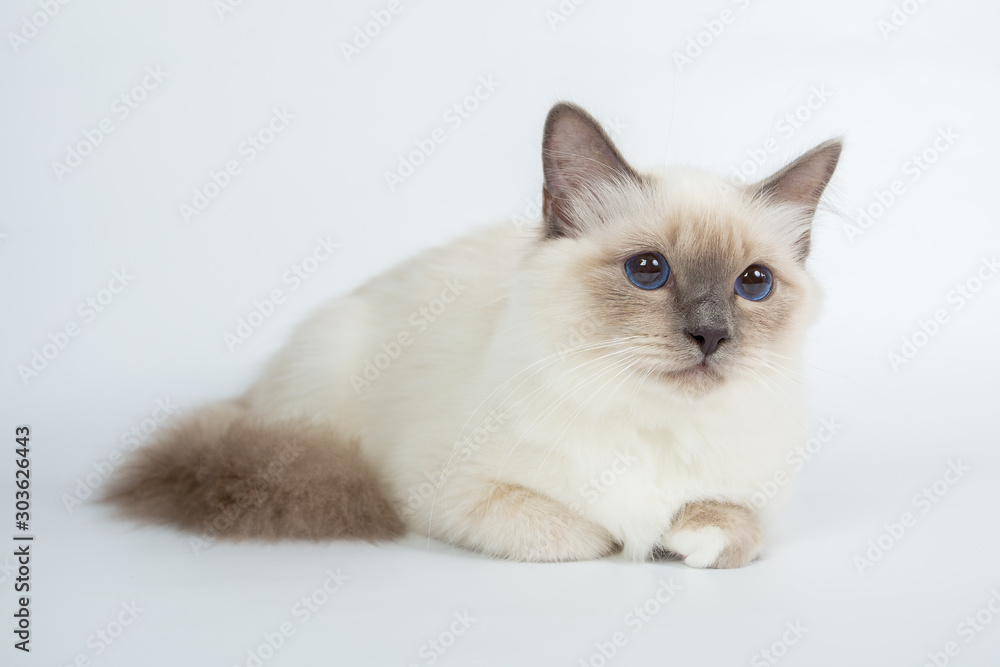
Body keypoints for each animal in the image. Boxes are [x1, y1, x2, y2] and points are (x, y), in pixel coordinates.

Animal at [105, 100, 840, 568]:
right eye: (648, 270)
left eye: (754, 284)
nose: (710, 336)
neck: (651, 422)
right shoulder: (445, 490)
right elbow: (583, 533)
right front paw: (631, 540)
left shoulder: (757, 500)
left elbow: (731, 524)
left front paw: (684, 538)